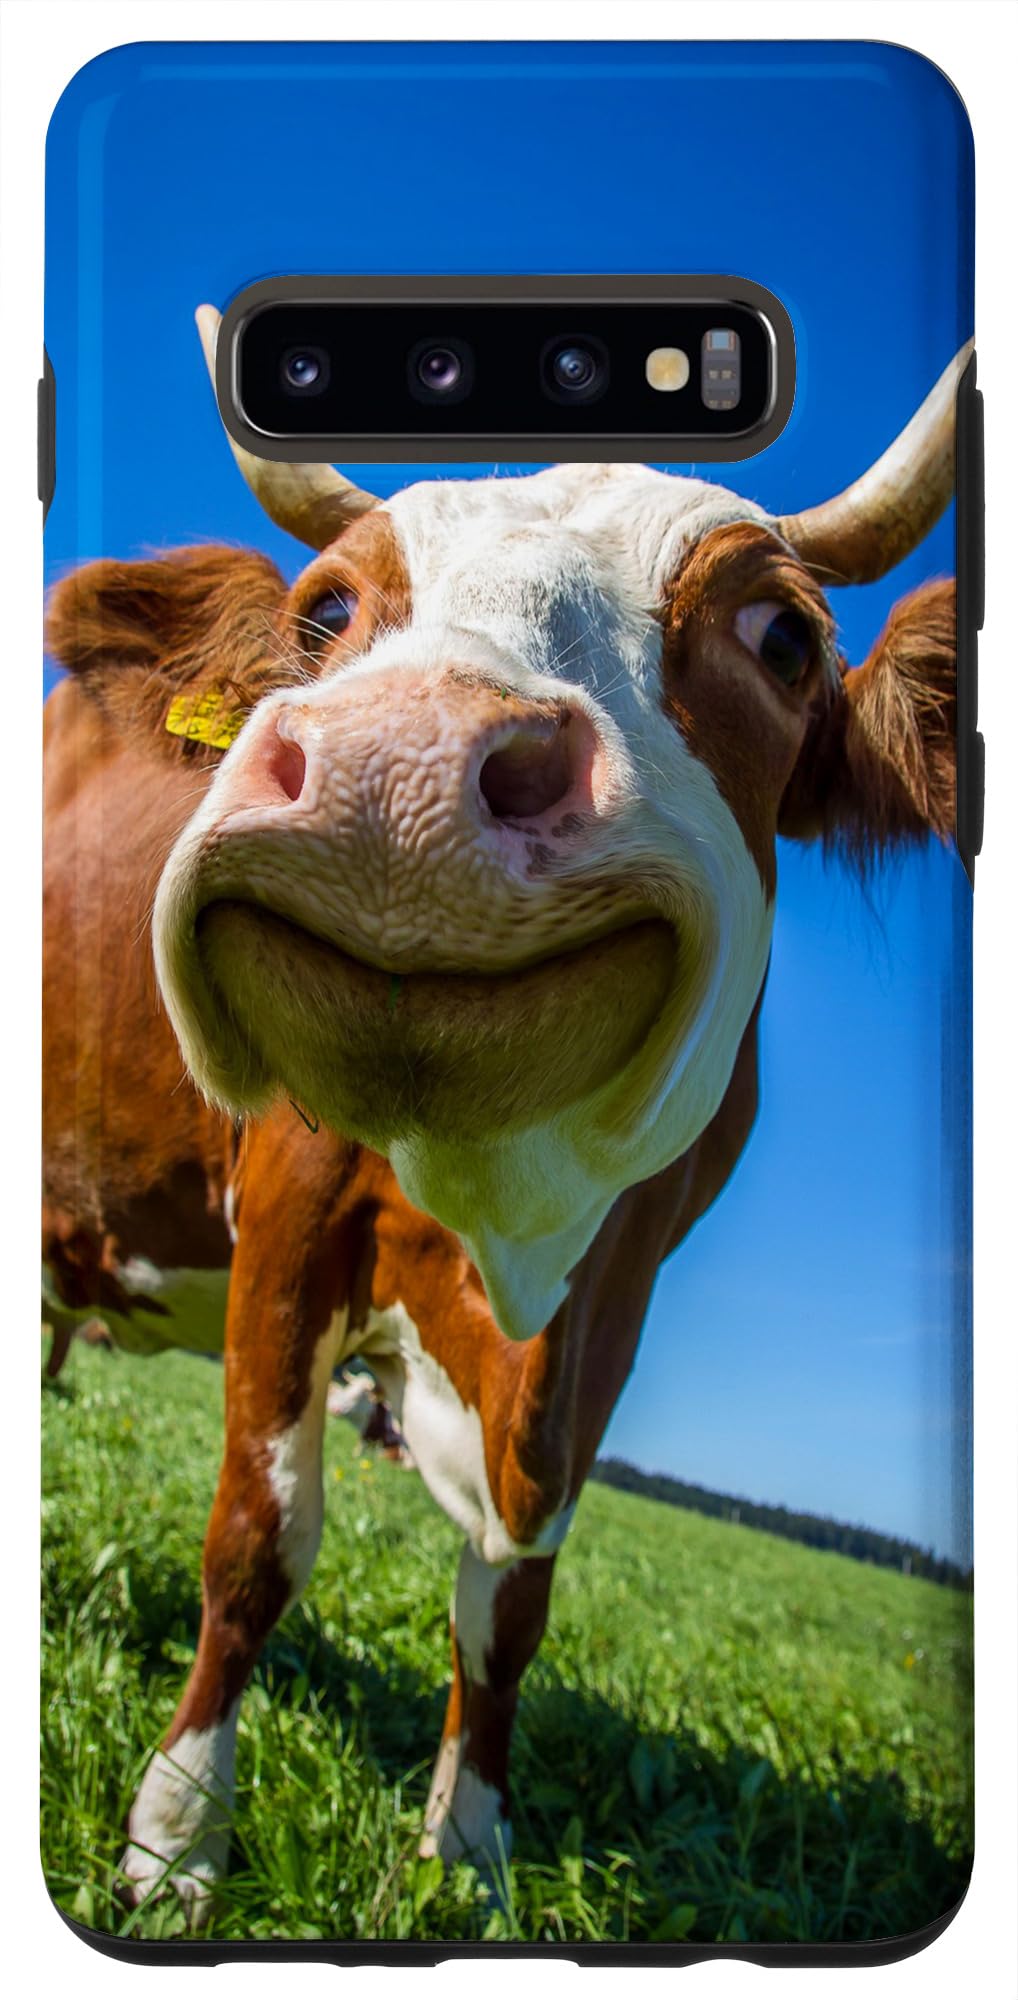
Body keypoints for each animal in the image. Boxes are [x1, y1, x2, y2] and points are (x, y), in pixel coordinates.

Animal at [42, 306, 963, 1916]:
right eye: (326, 616)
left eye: (782, 639)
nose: (394, 770)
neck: (501, 1227)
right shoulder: (290, 1209)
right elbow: (257, 1540)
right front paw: (175, 1840)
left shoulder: (615, 1298)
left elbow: (512, 1600)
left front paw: (466, 1852)